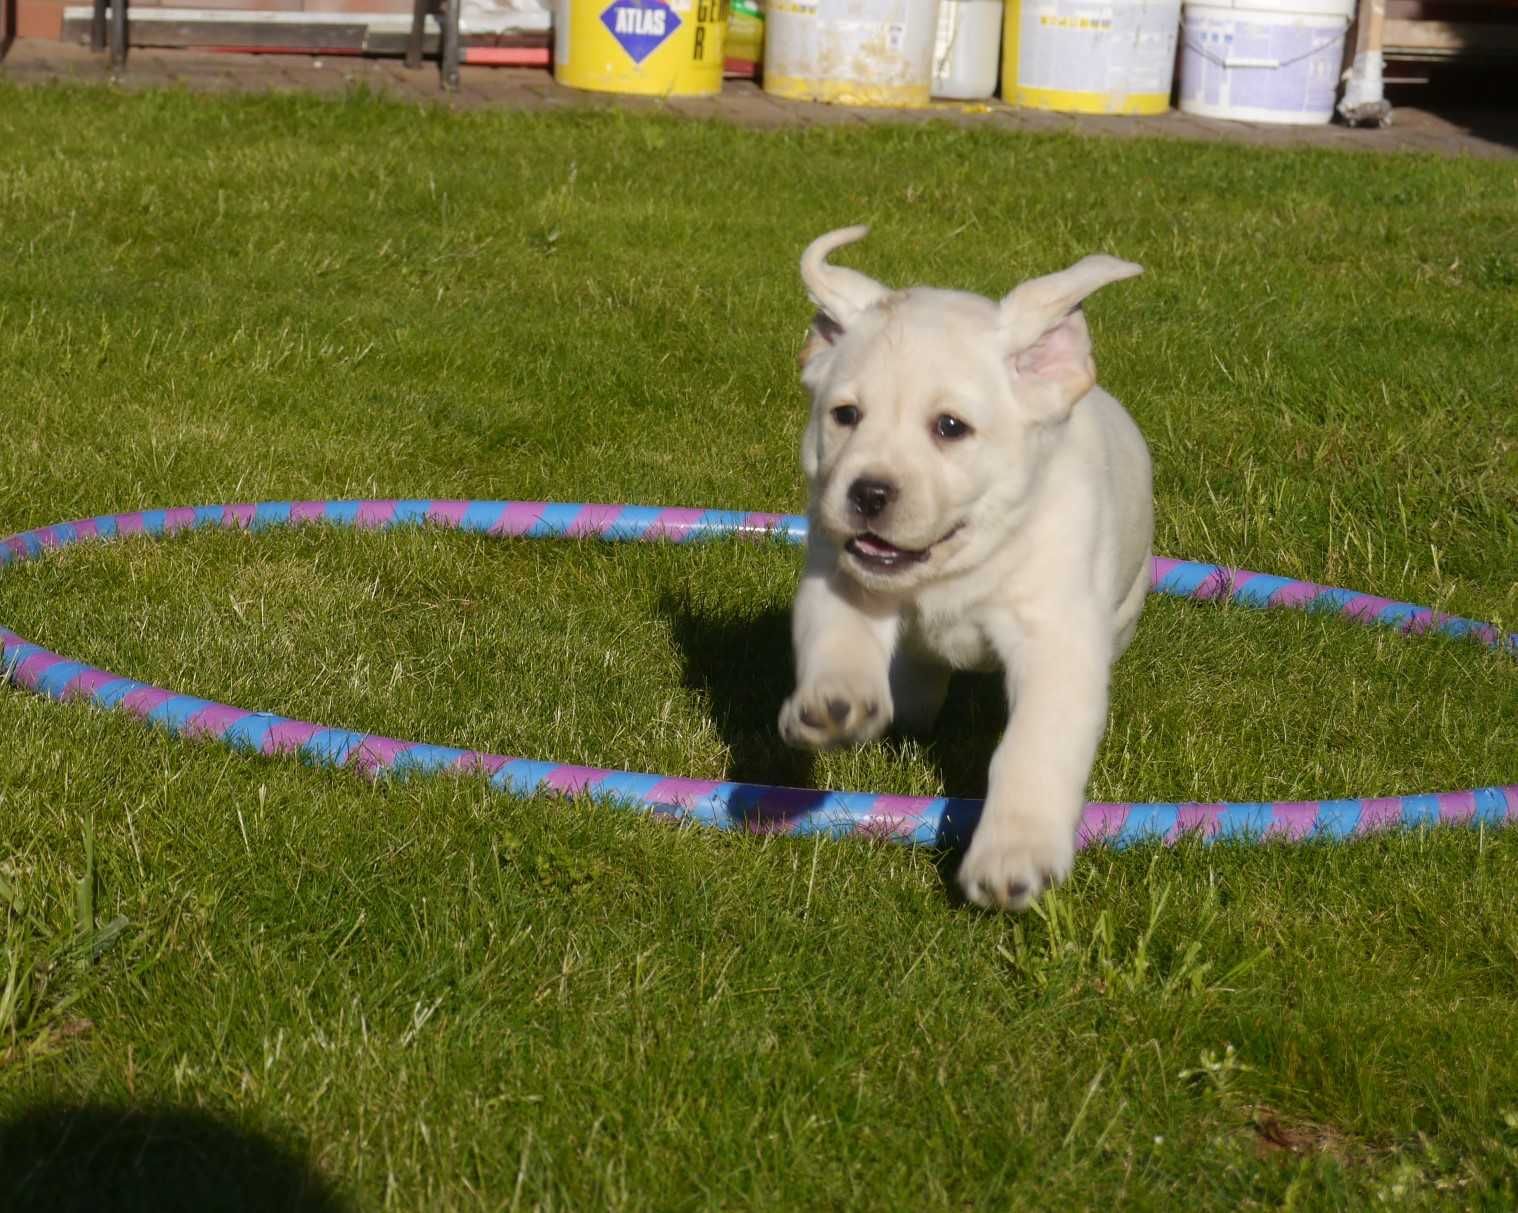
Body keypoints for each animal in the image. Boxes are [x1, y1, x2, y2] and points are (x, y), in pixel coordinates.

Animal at [783, 227, 1147, 910]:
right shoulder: (842, 577)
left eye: (950, 427)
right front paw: (834, 704)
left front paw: (1014, 853)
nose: (868, 493)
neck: (963, 563)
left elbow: (1034, 746)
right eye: (845, 415)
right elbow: (840, 640)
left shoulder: (1056, 637)